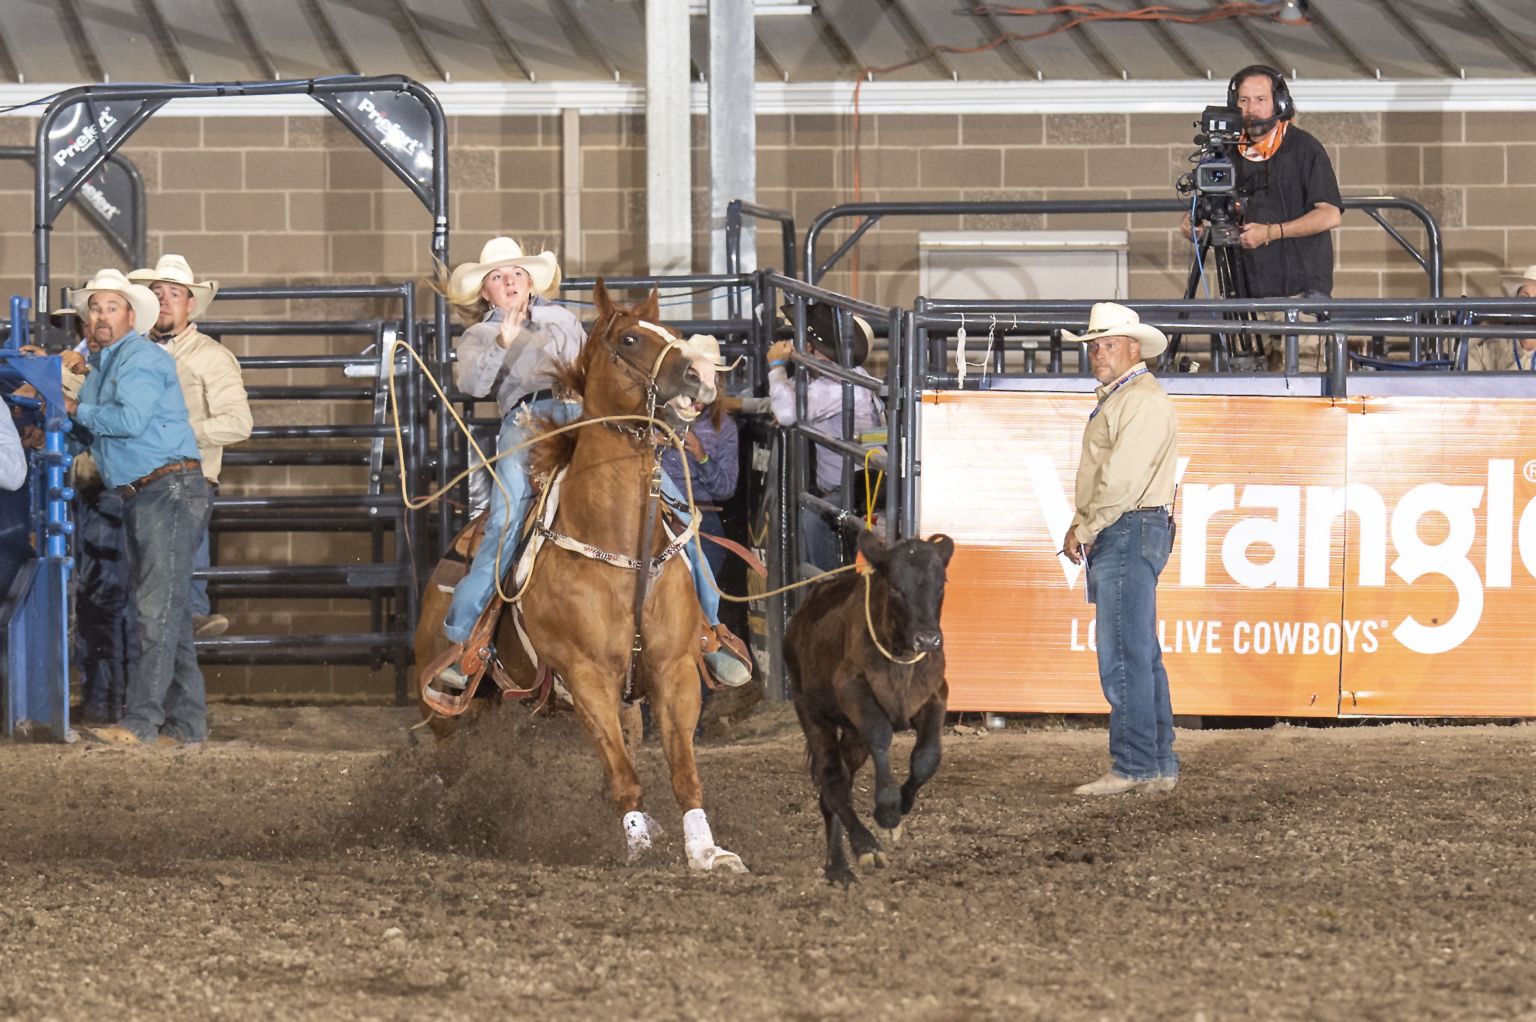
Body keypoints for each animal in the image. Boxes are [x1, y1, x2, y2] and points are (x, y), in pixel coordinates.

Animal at [408, 282, 743, 872]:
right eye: (629, 338)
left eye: (674, 333)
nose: (702, 372)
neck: (617, 545)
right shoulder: (586, 677)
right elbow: (624, 778)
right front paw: (638, 847)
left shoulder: (674, 670)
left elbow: (683, 774)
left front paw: (705, 850)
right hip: (448, 707)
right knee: (449, 762)